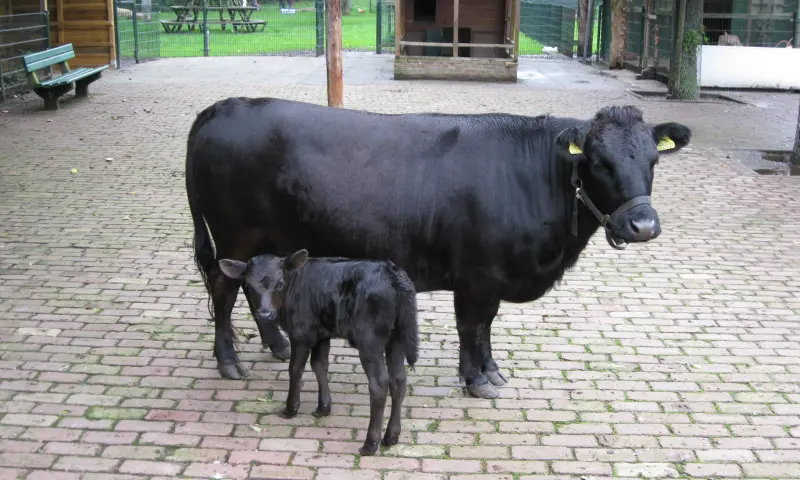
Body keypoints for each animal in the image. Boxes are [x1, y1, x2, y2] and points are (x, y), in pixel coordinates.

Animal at [184, 97, 692, 399]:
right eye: (600, 162)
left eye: (653, 160)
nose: (643, 225)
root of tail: (218, 109)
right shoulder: (477, 276)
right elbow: (471, 327)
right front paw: (476, 379)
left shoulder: (492, 279)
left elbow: (487, 327)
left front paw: (491, 370)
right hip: (235, 233)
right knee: (225, 291)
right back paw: (229, 362)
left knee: (253, 285)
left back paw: (278, 344)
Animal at [216, 250, 419, 455]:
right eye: (248, 285)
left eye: (279, 283)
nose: (265, 314)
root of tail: (394, 275)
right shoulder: (321, 334)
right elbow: (319, 365)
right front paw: (323, 408)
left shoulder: (301, 333)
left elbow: (295, 369)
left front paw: (290, 409)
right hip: (397, 338)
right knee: (399, 380)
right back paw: (391, 436)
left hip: (369, 339)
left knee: (379, 383)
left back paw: (370, 444)